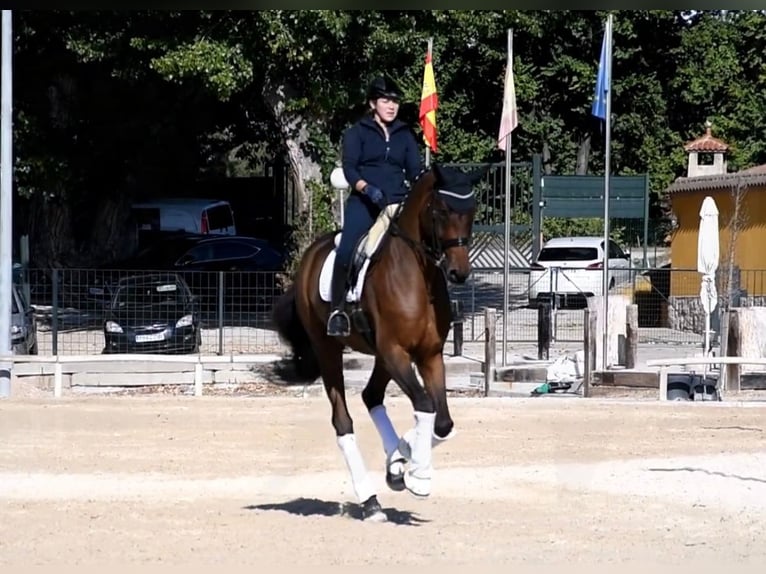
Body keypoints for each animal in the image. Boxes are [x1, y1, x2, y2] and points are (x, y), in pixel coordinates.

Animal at [272, 162, 484, 520]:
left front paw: (405, 456)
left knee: (371, 395)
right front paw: (418, 476)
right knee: (343, 421)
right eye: (442, 211)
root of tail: (311, 255)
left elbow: (442, 421)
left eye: (471, 211)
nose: (459, 273)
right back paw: (369, 500)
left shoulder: (429, 355)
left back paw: (395, 463)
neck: (418, 275)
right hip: (331, 349)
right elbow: (425, 405)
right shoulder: (396, 351)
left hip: (382, 358)